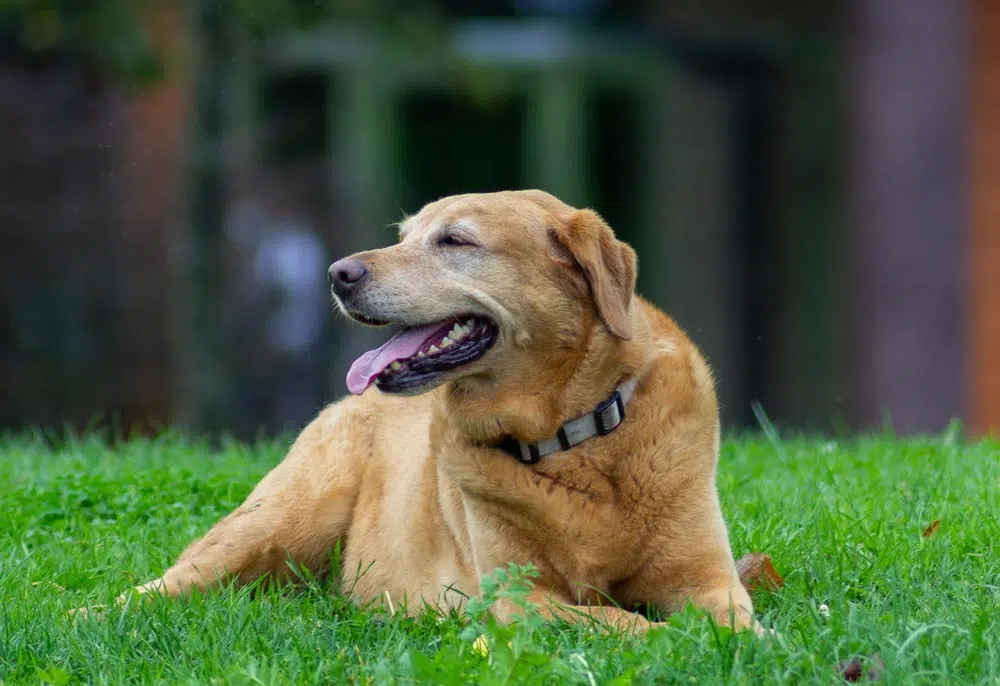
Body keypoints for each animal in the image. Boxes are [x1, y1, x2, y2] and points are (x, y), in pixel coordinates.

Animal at [97, 192, 752, 636]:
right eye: (405, 236)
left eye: (455, 241)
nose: (337, 273)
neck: (571, 439)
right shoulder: (521, 598)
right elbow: (626, 623)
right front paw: (669, 640)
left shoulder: (706, 575)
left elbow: (732, 619)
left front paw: (745, 642)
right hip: (278, 522)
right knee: (165, 584)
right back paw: (90, 616)